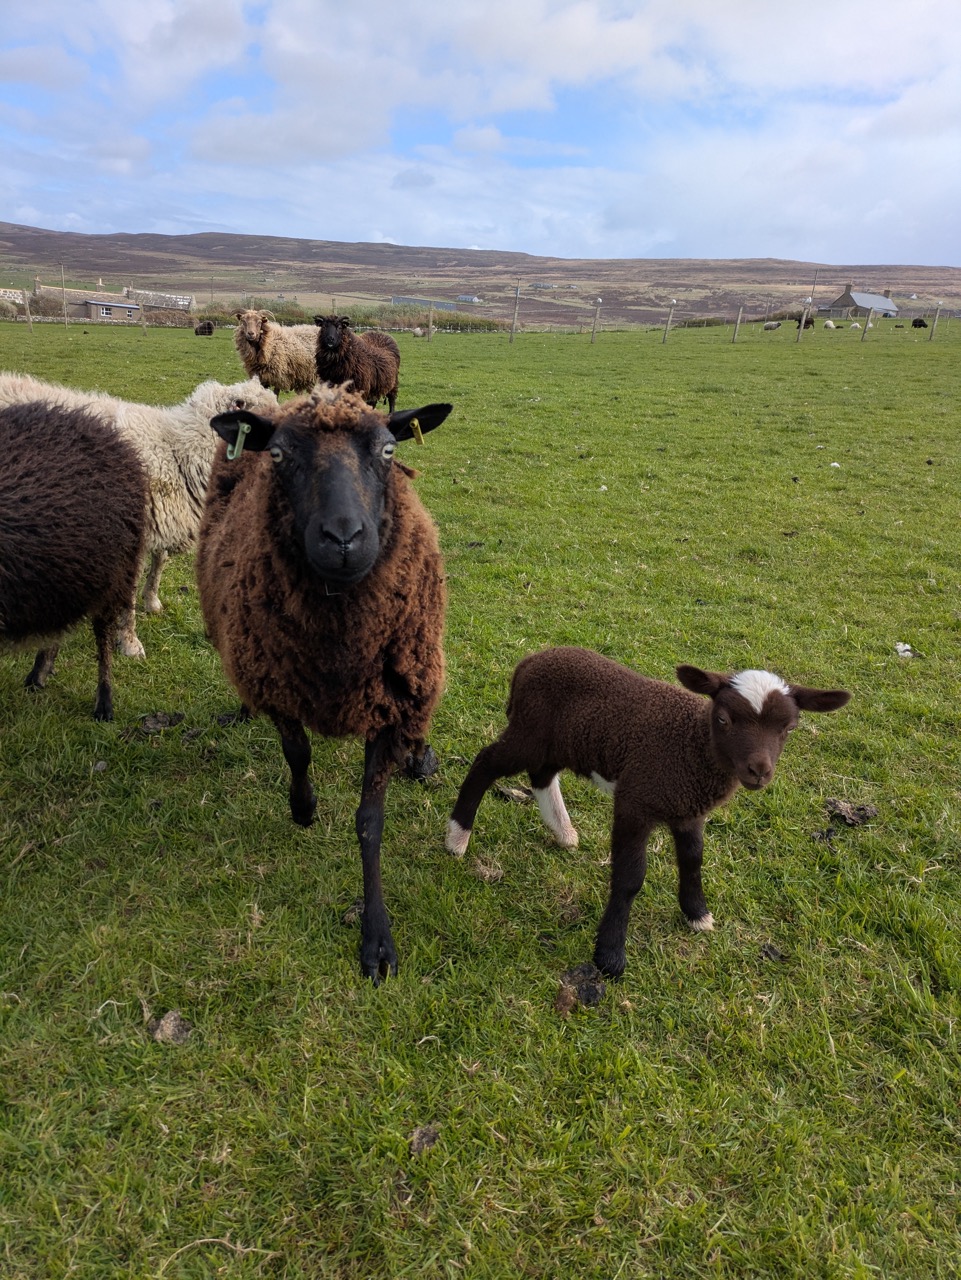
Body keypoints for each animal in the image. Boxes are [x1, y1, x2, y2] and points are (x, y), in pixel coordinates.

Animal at [0, 373, 280, 658]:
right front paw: (130, 642)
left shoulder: (161, 518)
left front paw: (152, 601)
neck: (176, 449)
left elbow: (160, 562)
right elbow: (130, 590)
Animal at [196, 383, 453, 982]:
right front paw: (304, 808)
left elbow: (370, 821)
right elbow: (297, 753)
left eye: (388, 451)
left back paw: (420, 756)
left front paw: (376, 938)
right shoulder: (277, 681)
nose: (343, 538)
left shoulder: (389, 704)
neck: (341, 642)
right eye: (278, 455)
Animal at [446, 647, 850, 978]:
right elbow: (629, 878)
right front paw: (609, 956)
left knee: (542, 775)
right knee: (485, 763)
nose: (758, 771)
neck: (692, 746)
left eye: (789, 727)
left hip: (558, 740)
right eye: (723, 719)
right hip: (529, 732)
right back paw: (457, 838)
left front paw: (697, 914)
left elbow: (692, 860)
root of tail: (529, 661)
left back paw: (564, 833)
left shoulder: (688, 811)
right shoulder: (635, 801)